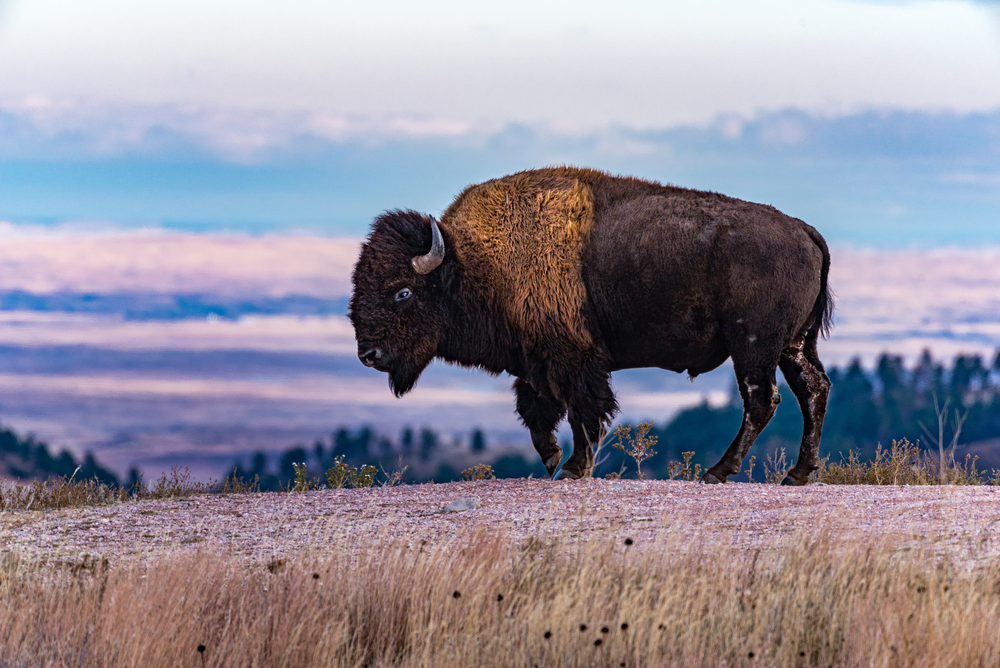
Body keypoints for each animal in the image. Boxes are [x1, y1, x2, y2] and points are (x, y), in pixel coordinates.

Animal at [348, 165, 832, 482]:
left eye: (403, 292)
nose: (368, 354)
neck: (473, 262)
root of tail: (804, 231)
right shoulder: (535, 362)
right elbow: (537, 412)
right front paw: (551, 460)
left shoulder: (573, 359)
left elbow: (583, 411)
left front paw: (572, 467)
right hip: (792, 346)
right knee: (813, 389)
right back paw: (798, 473)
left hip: (753, 346)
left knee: (762, 400)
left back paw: (718, 471)